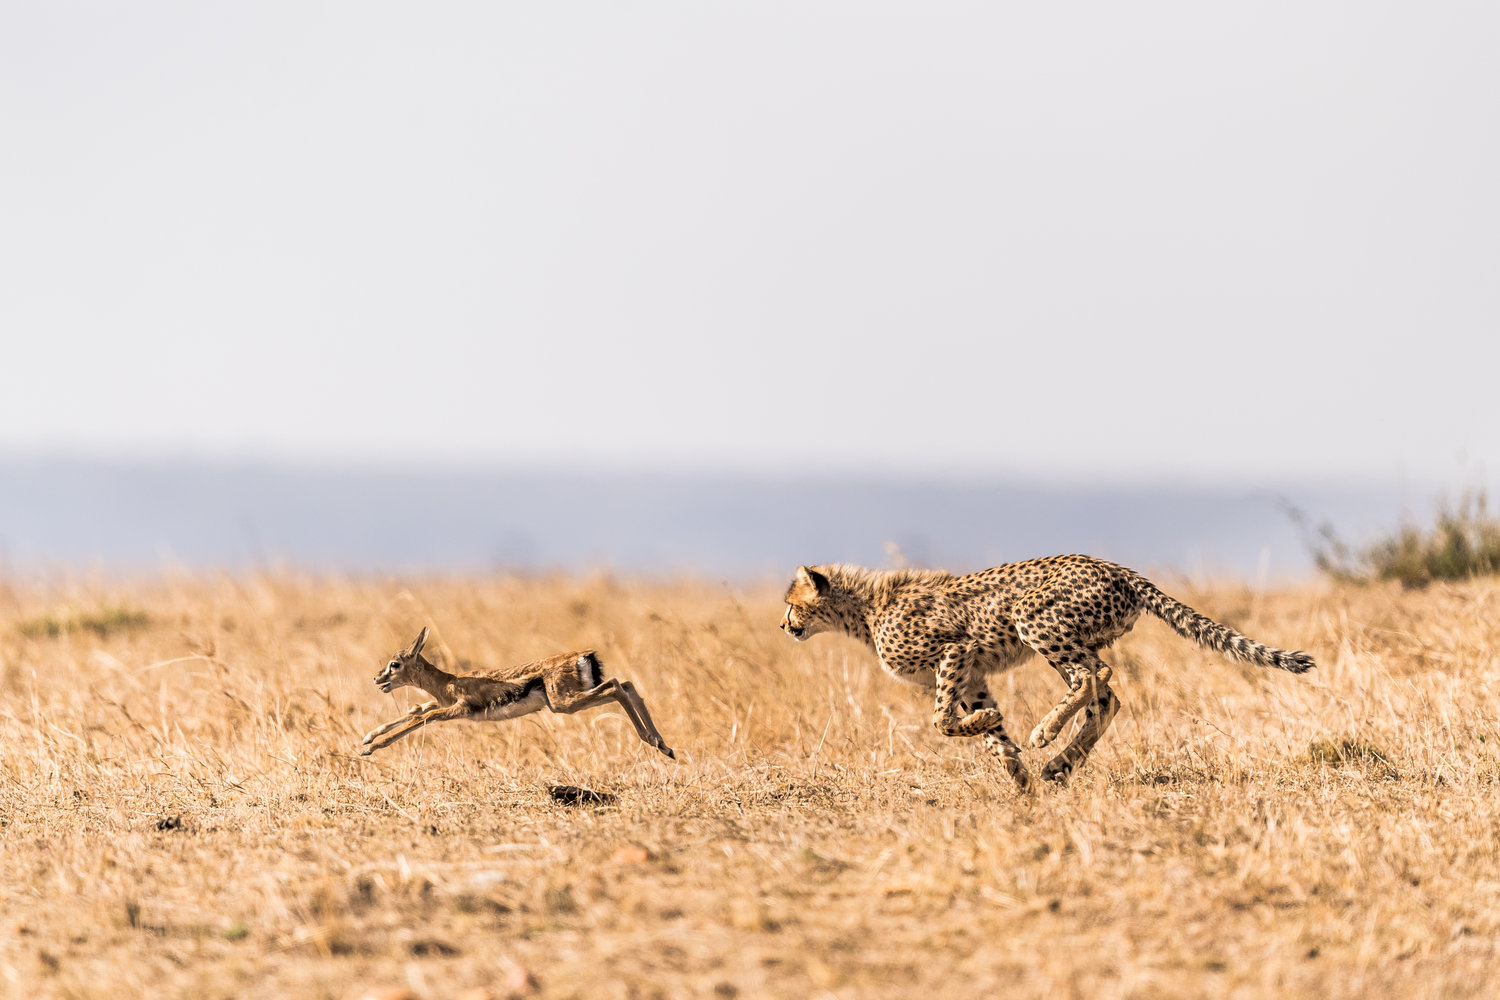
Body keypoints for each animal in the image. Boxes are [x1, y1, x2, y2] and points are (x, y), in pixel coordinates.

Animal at [786, 554, 1314, 791]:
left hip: (1035, 619)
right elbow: (989, 732)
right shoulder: (973, 674)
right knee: (1105, 695)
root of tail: (1118, 568)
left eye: (791, 604)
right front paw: (1017, 775)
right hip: (1073, 636)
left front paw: (1003, 741)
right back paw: (1060, 763)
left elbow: (941, 720)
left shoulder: (956, 651)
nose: (783, 625)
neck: (864, 609)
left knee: (1095, 677)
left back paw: (1047, 733)